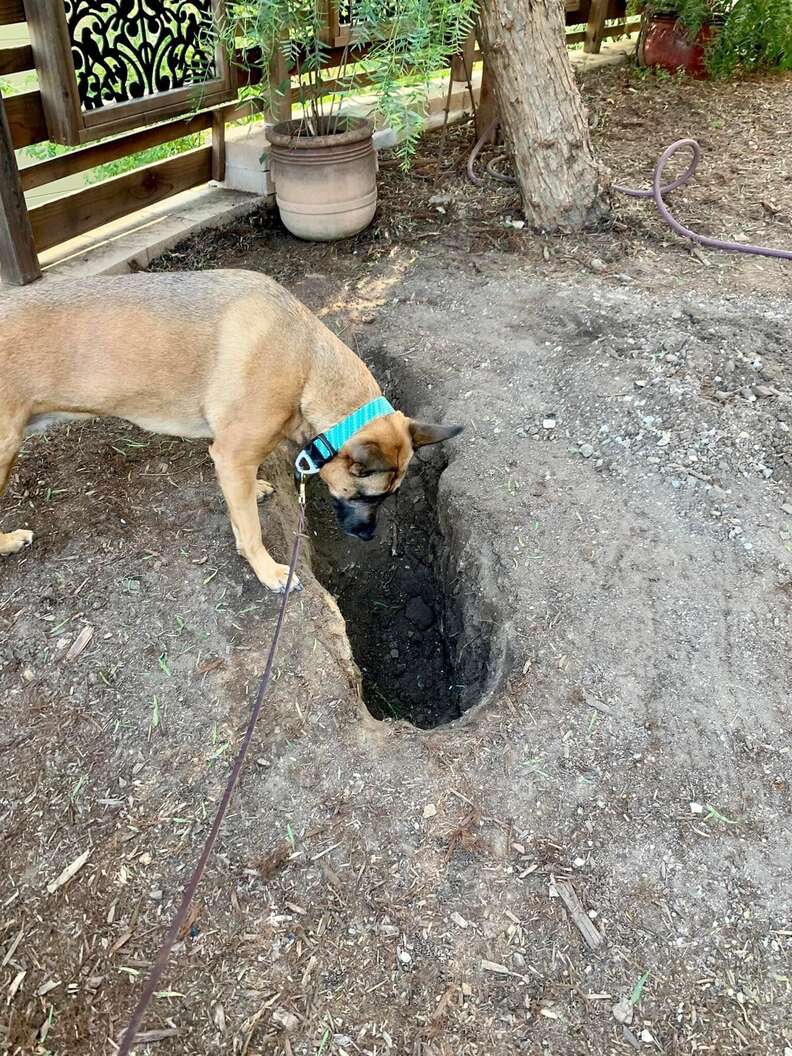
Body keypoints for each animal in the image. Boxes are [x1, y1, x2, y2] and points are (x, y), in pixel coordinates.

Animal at [0, 268, 462, 591]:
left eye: (389, 497)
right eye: (366, 496)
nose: (368, 536)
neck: (306, 364)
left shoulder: (236, 460)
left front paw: (255, 489)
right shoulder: (232, 454)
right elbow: (250, 530)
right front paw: (268, 570)